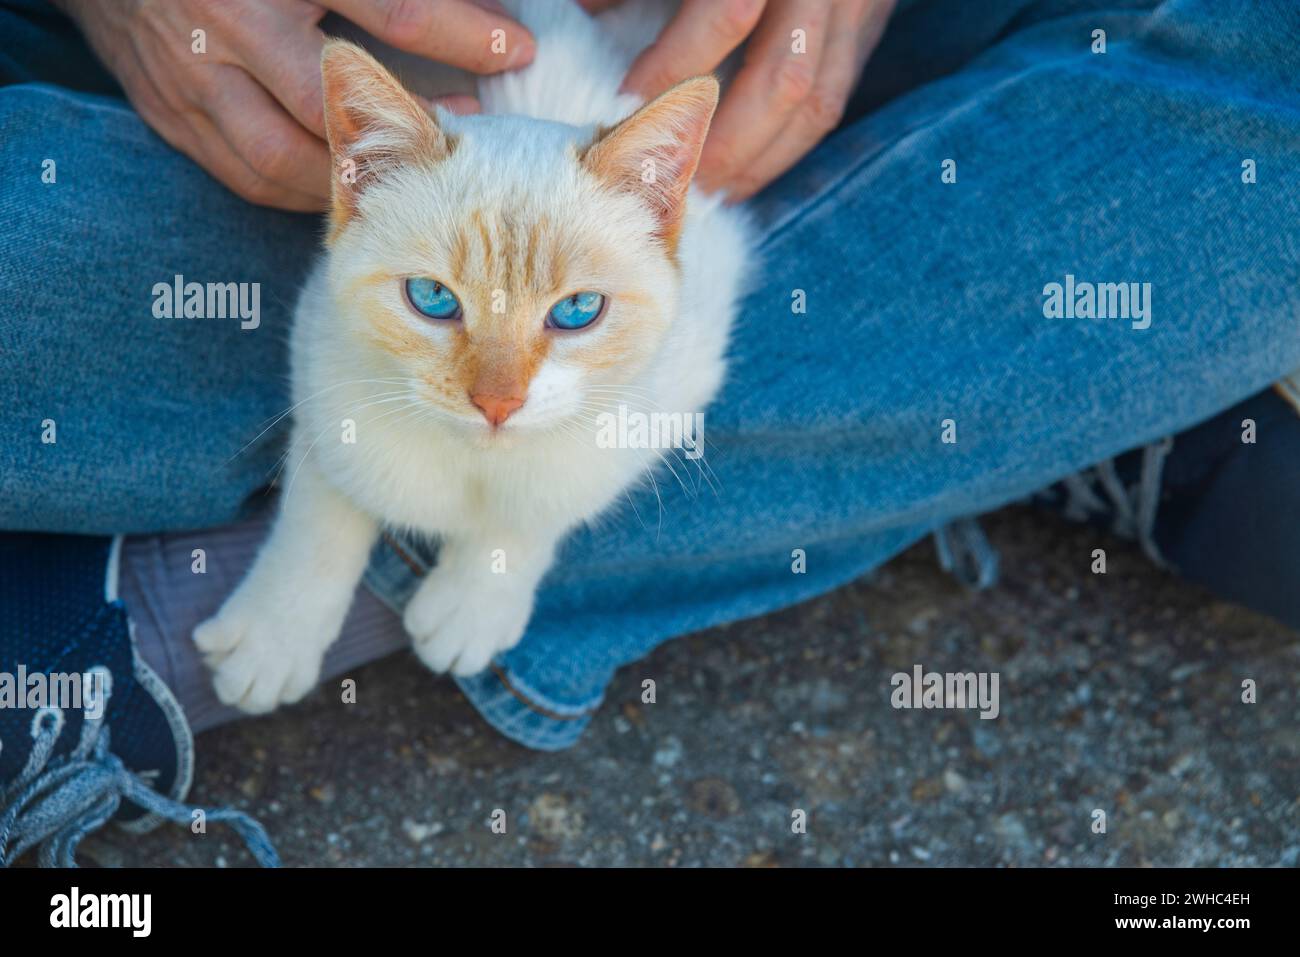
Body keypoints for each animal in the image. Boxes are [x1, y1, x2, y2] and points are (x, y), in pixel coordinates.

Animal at [197, 0, 759, 712]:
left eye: (578, 310)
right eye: (434, 298)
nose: (498, 403)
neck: (470, 465)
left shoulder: (668, 392)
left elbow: (543, 502)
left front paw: (474, 601)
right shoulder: (322, 362)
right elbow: (319, 516)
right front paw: (275, 634)